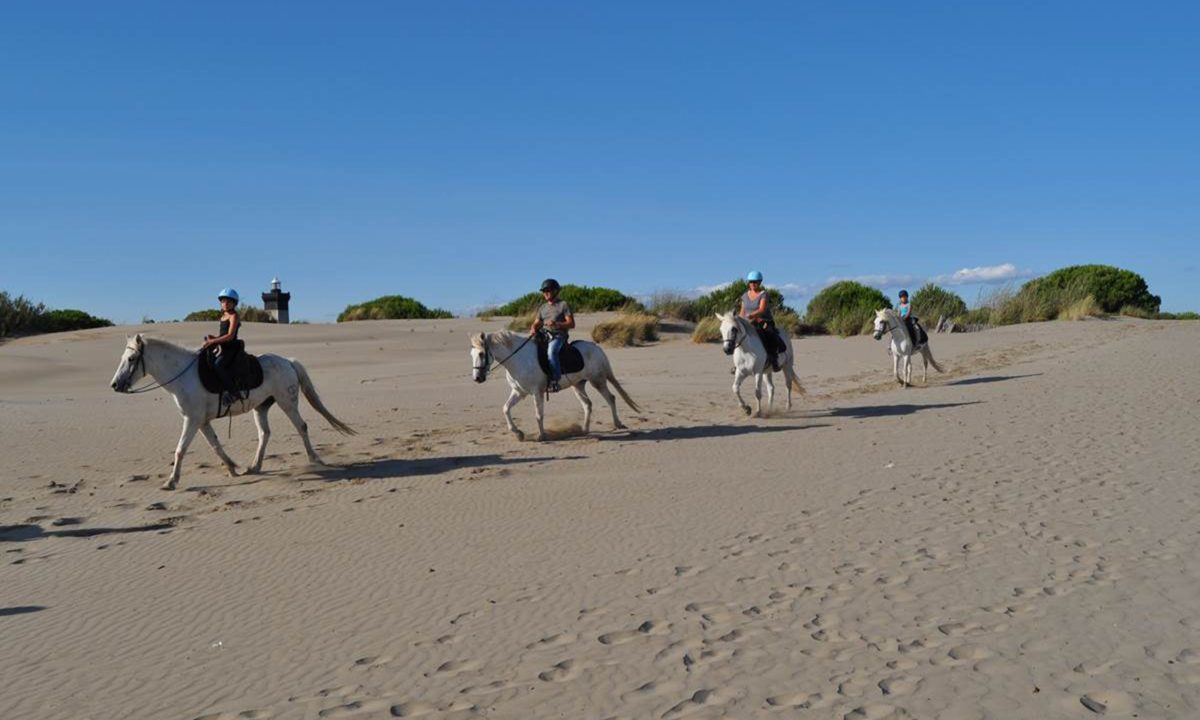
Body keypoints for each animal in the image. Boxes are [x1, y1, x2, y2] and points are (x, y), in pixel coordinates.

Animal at [110, 334, 355, 490]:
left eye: (131, 359)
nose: (115, 385)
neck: (183, 376)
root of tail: (287, 361)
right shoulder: (201, 421)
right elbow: (216, 446)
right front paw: (233, 468)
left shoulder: (192, 420)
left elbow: (180, 449)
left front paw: (171, 482)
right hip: (261, 407)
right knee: (264, 434)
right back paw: (254, 466)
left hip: (288, 402)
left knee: (301, 427)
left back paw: (315, 459)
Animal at [470, 331, 640, 441]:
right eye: (472, 355)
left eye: (481, 354)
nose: (477, 378)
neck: (518, 359)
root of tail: (596, 347)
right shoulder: (519, 392)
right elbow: (505, 408)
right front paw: (518, 433)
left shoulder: (536, 392)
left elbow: (538, 415)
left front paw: (542, 436)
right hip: (578, 385)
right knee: (587, 404)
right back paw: (585, 430)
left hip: (597, 381)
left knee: (610, 398)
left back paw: (618, 424)